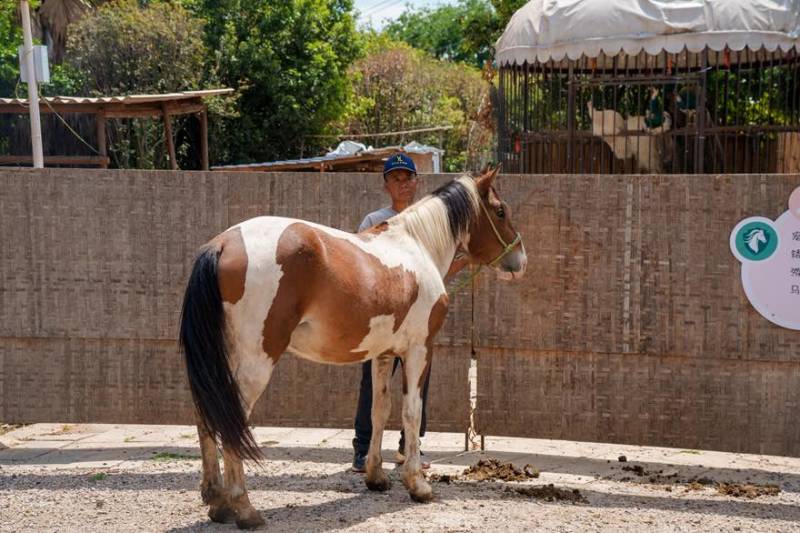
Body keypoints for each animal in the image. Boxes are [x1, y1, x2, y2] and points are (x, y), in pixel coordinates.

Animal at [179, 166, 527, 529]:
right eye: (500, 211)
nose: (521, 260)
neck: (416, 248)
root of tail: (223, 243)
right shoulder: (419, 351)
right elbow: (411, 412)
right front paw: (418, 485)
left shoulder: (383, 354)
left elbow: (379, 410)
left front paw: (376, 477)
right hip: (256, 361)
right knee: (232, 418)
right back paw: (244, 508)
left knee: (207, 413)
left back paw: (217, 502)